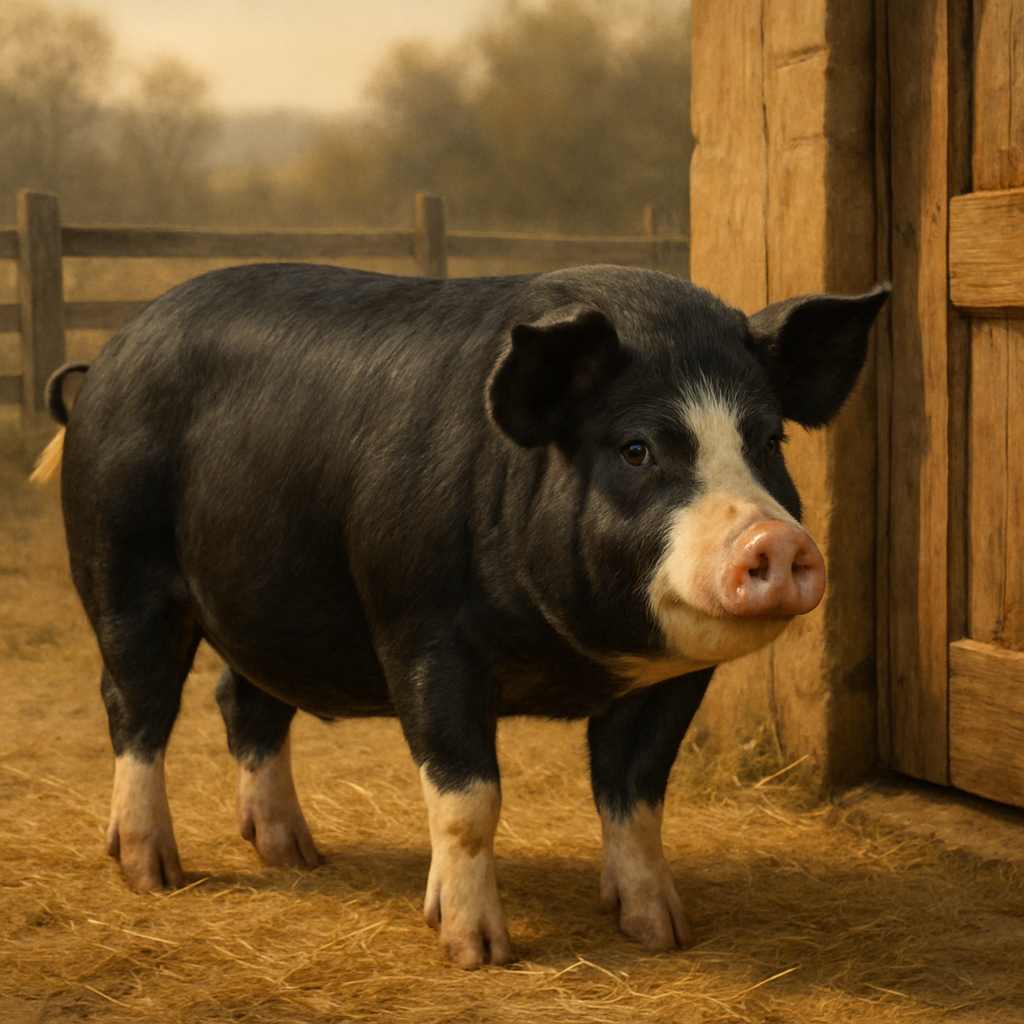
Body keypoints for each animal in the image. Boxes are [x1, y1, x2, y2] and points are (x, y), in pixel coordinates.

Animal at [35, 263, 888, 968]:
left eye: (769, 441)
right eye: (637, 448)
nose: (776, 538)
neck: (570, 654)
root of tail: (104, 363)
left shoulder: (672, 680)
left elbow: (637, 795)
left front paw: (662, 933)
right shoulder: (424, 638)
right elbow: (470, 802)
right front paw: (476, 951)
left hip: (271, 608)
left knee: (244, 699)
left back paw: (296, 855)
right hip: (121, 568)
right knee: (136, 705)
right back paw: (154, 874)